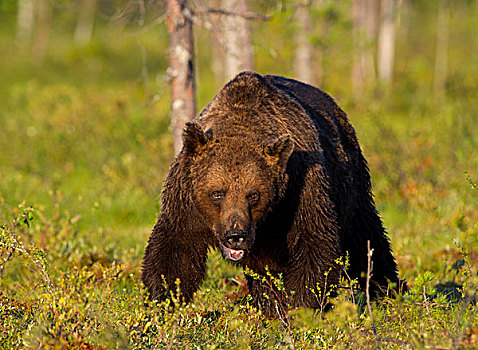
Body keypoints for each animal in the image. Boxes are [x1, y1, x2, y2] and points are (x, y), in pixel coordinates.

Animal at [142, 71, 404, 318]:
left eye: (253, 194)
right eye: (217, 193)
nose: (235, 235)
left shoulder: (302, 191)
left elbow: (314, 247)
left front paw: (299, 311)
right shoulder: (186, 201)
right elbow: (174, 253)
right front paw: (160, 305)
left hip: (349, 182)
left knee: (365, 236)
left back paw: (389, 291)